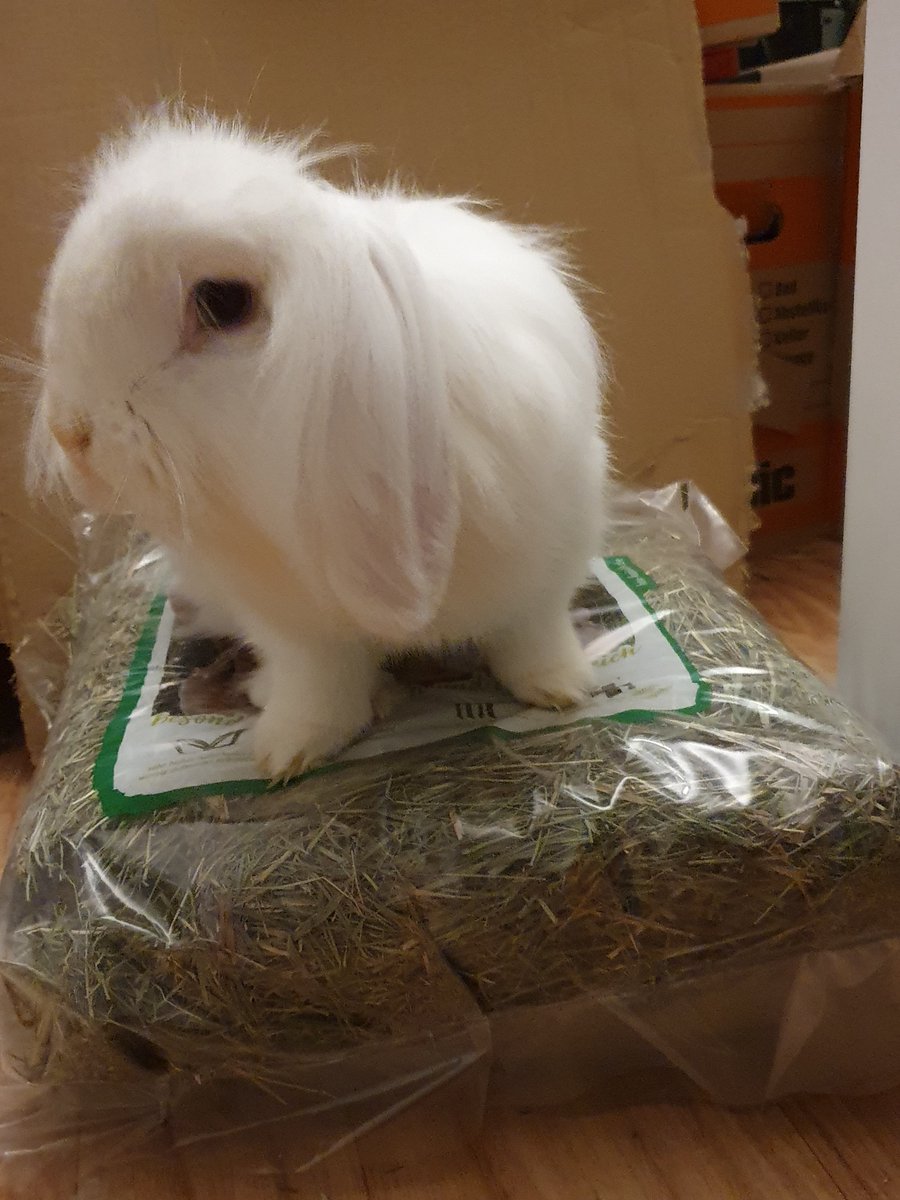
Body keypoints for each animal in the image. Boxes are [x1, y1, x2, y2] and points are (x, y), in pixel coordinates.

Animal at [30, 112, 610, 781]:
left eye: (222, 302)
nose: (70, 434)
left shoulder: (545, 567)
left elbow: (532, 637)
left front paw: (562, 689)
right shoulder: (293, 623)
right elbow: (319, 686)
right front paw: (289, 751)